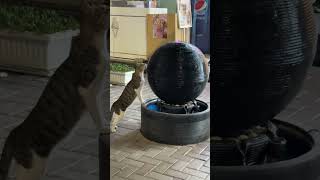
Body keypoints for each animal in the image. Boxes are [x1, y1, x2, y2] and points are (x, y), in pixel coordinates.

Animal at [0, 0, 109, 179]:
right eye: (103, 10)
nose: (109, 8)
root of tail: (14, 132)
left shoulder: (98, 90)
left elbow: (99, 109)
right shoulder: (87, 88)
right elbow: (97, 113)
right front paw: (105, 127)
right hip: (34, 165)